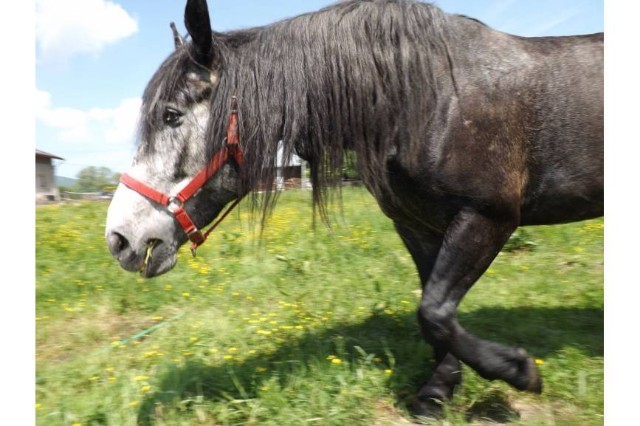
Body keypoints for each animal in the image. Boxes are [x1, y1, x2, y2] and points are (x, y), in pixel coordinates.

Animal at [105, 0, 603, 417]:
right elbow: (434, 310)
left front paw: (519, 371)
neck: (428, 97)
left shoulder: (488, 217)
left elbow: (435, 310)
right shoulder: (417, 225)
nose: (119, 239)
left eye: (171, 115)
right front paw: (437, 390)